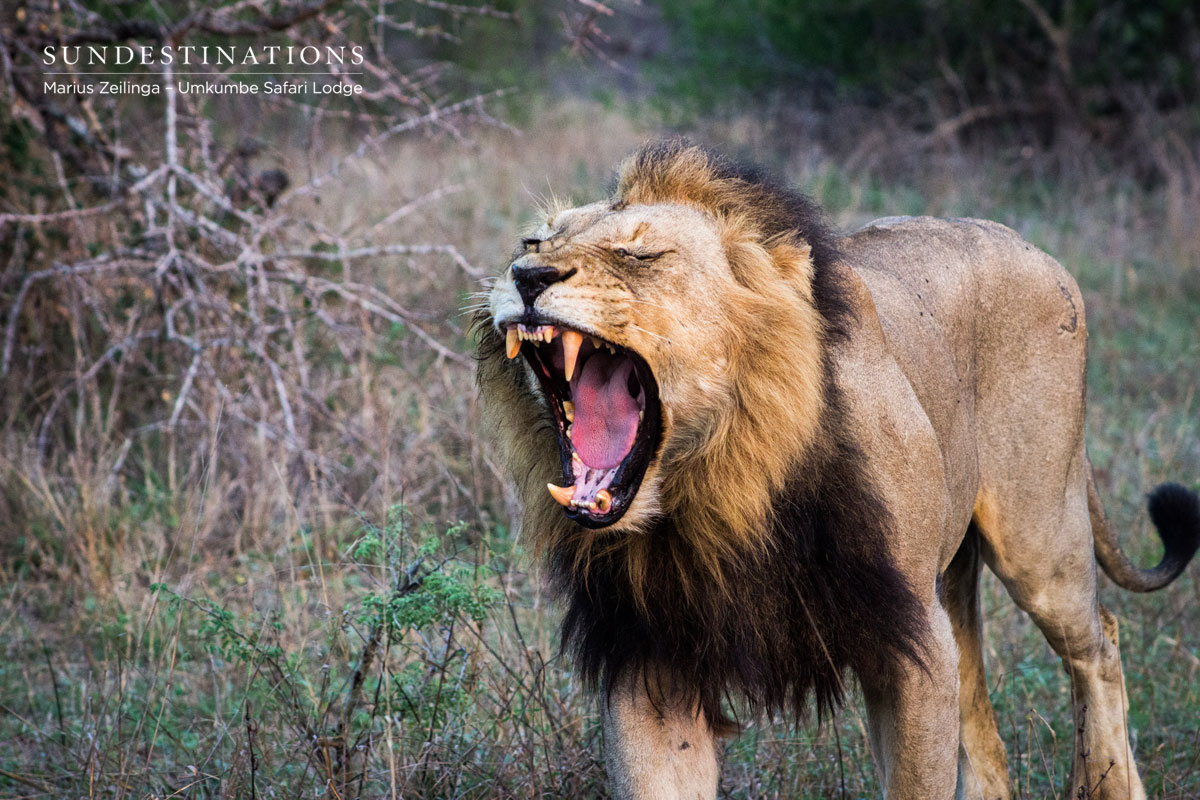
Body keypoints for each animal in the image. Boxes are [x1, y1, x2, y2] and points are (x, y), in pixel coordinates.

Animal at [475, 139, 1200, 800]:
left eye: (639, 254)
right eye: (533, 239)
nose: (525, 276)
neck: (720, 490)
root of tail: (1029, 245)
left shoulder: (911, 642)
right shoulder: (649, 658)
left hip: (1038, 537)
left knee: (1099, 646)